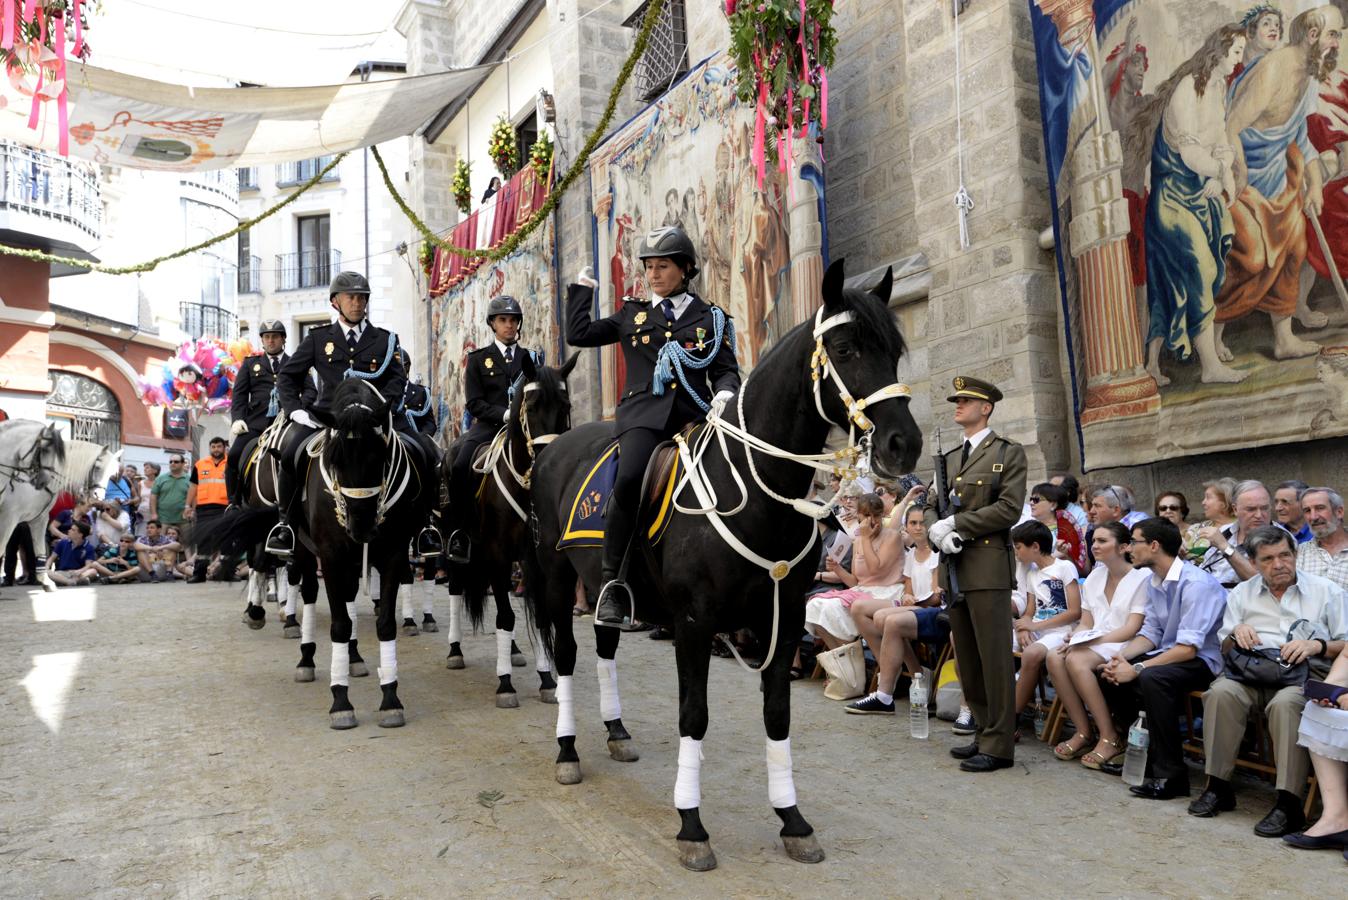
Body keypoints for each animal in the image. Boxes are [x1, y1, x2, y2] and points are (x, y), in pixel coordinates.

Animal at [0, 423, 119, 590]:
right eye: (97, 467)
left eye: (112, 474)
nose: (98, 496)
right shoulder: (9, 518)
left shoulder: (39, 519)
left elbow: (40, 552)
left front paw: (45, 581)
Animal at [436, 355, 574, 705]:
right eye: (532, 405)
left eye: (565, 406)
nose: (548, 460)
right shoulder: (497, 554)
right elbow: (506, 617)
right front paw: (506, 684)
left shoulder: (532, 560)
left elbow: (537, 616)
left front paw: (546, 680)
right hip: (456, 544)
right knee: (457, 590)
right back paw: (455, 651)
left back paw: (512, 651)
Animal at [525, 260, 927, 873]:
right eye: (845, 346)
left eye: (895, 349)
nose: (904, 444)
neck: (764, 493)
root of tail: (553, 448)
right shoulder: (694, 625)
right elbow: (694, 716)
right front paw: (692, 825)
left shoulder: (781, 623)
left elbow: (778, 716)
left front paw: (792, 820)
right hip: (554, 577)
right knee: (567, 656)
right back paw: (567, 749)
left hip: (601, 586)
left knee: (605, 643)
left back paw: (616, 732)